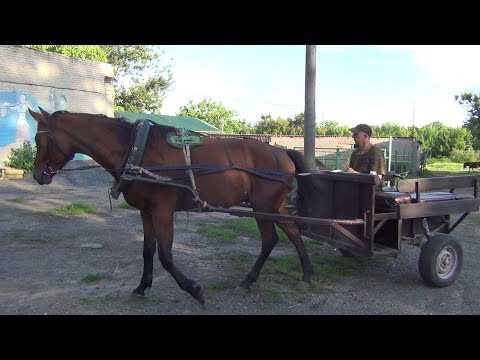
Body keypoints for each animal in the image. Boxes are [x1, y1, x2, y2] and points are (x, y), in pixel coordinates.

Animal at [29, 108, 316, 306]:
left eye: (38, 140)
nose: (38, 176)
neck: (137, 149)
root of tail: (282, 152)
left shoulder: (162, 211)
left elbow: (166, 256)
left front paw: (194, 290)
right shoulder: (146, 211)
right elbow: (148, 250)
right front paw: (142, 287)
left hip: (263, 206)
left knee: (270, 239)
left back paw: (249, 281)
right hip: (273, 206)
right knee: (292, 233)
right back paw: (306, 274)